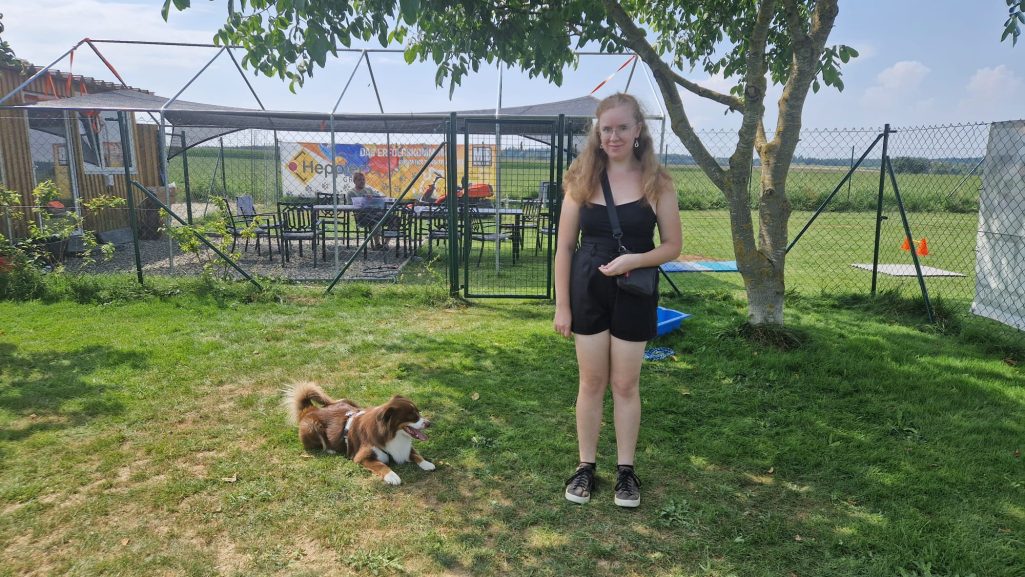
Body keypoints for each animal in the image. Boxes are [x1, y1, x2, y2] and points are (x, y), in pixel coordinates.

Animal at [283, 382, 435, 485]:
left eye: (418, 412)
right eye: (412, 416)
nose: (429, 423)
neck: (391, 435)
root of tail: (309, 410)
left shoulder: (403, 449)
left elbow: (416, 454)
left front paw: (427, 463)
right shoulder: (361, 457)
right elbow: (382, 465)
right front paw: (392, 476)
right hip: (312, 427)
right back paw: (330, 450)